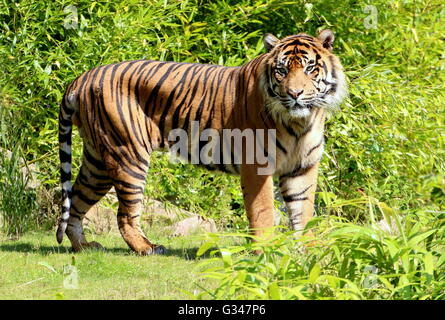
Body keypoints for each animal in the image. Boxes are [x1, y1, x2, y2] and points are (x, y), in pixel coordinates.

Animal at [56, 30, 346, 255]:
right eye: (281, 70)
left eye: (310, 69)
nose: (295, 94)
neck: (300, 123)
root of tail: (83, 77)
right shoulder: (257, 166)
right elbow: (262, 212)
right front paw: (266, 251)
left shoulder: (302, 167)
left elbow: (303, 211)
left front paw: (308, 250)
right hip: (128, 154)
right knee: (124, 215)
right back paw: (147, 248)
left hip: (97, 162)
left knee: (77, 200)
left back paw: (84, 246)